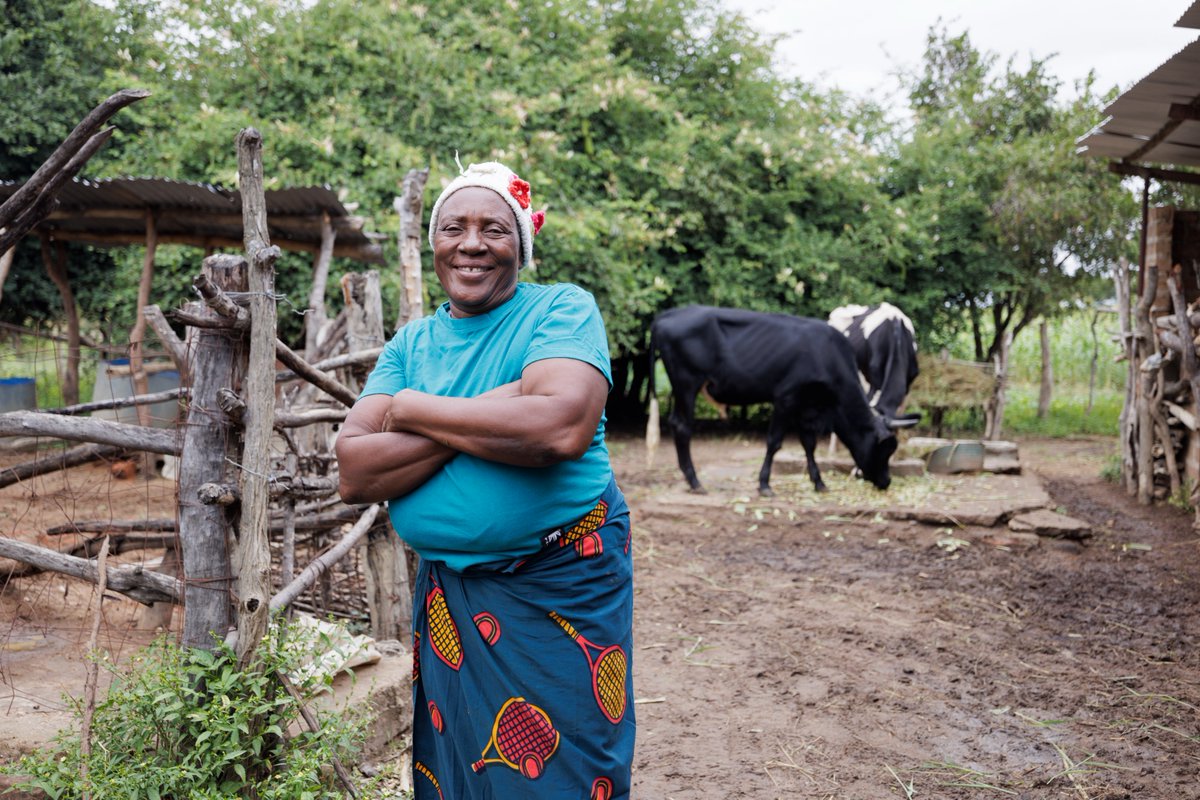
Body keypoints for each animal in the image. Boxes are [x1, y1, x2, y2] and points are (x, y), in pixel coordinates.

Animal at [652, 304, 912, 494]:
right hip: (687, 383)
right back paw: (695, 481)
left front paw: (819, 483)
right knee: (682, 426)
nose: (887, 481)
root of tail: (668, 314)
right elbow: (774, 442)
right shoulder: (786, 398)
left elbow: (809, 444)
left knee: (676, 423)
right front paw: (765, 485)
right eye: (884, 450)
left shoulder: (808, 405)